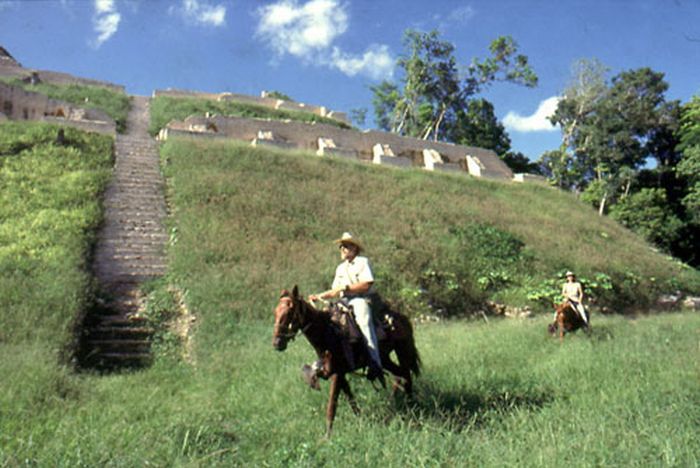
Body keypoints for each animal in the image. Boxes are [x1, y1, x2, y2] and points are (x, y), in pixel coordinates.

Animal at [274, 288, 422, 436]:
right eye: (275, 312)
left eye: (289, 312)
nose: (277, 343)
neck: (328, 333)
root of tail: (402, 318)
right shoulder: (339, 372)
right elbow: (350, 398)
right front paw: (360, 420)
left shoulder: (337, 374)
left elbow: (332, 404)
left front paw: (327, 437)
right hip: (386, 358)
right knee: (401, 374)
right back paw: (396, 401)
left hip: (402, 351)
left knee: (406, 373)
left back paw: (412, 405)